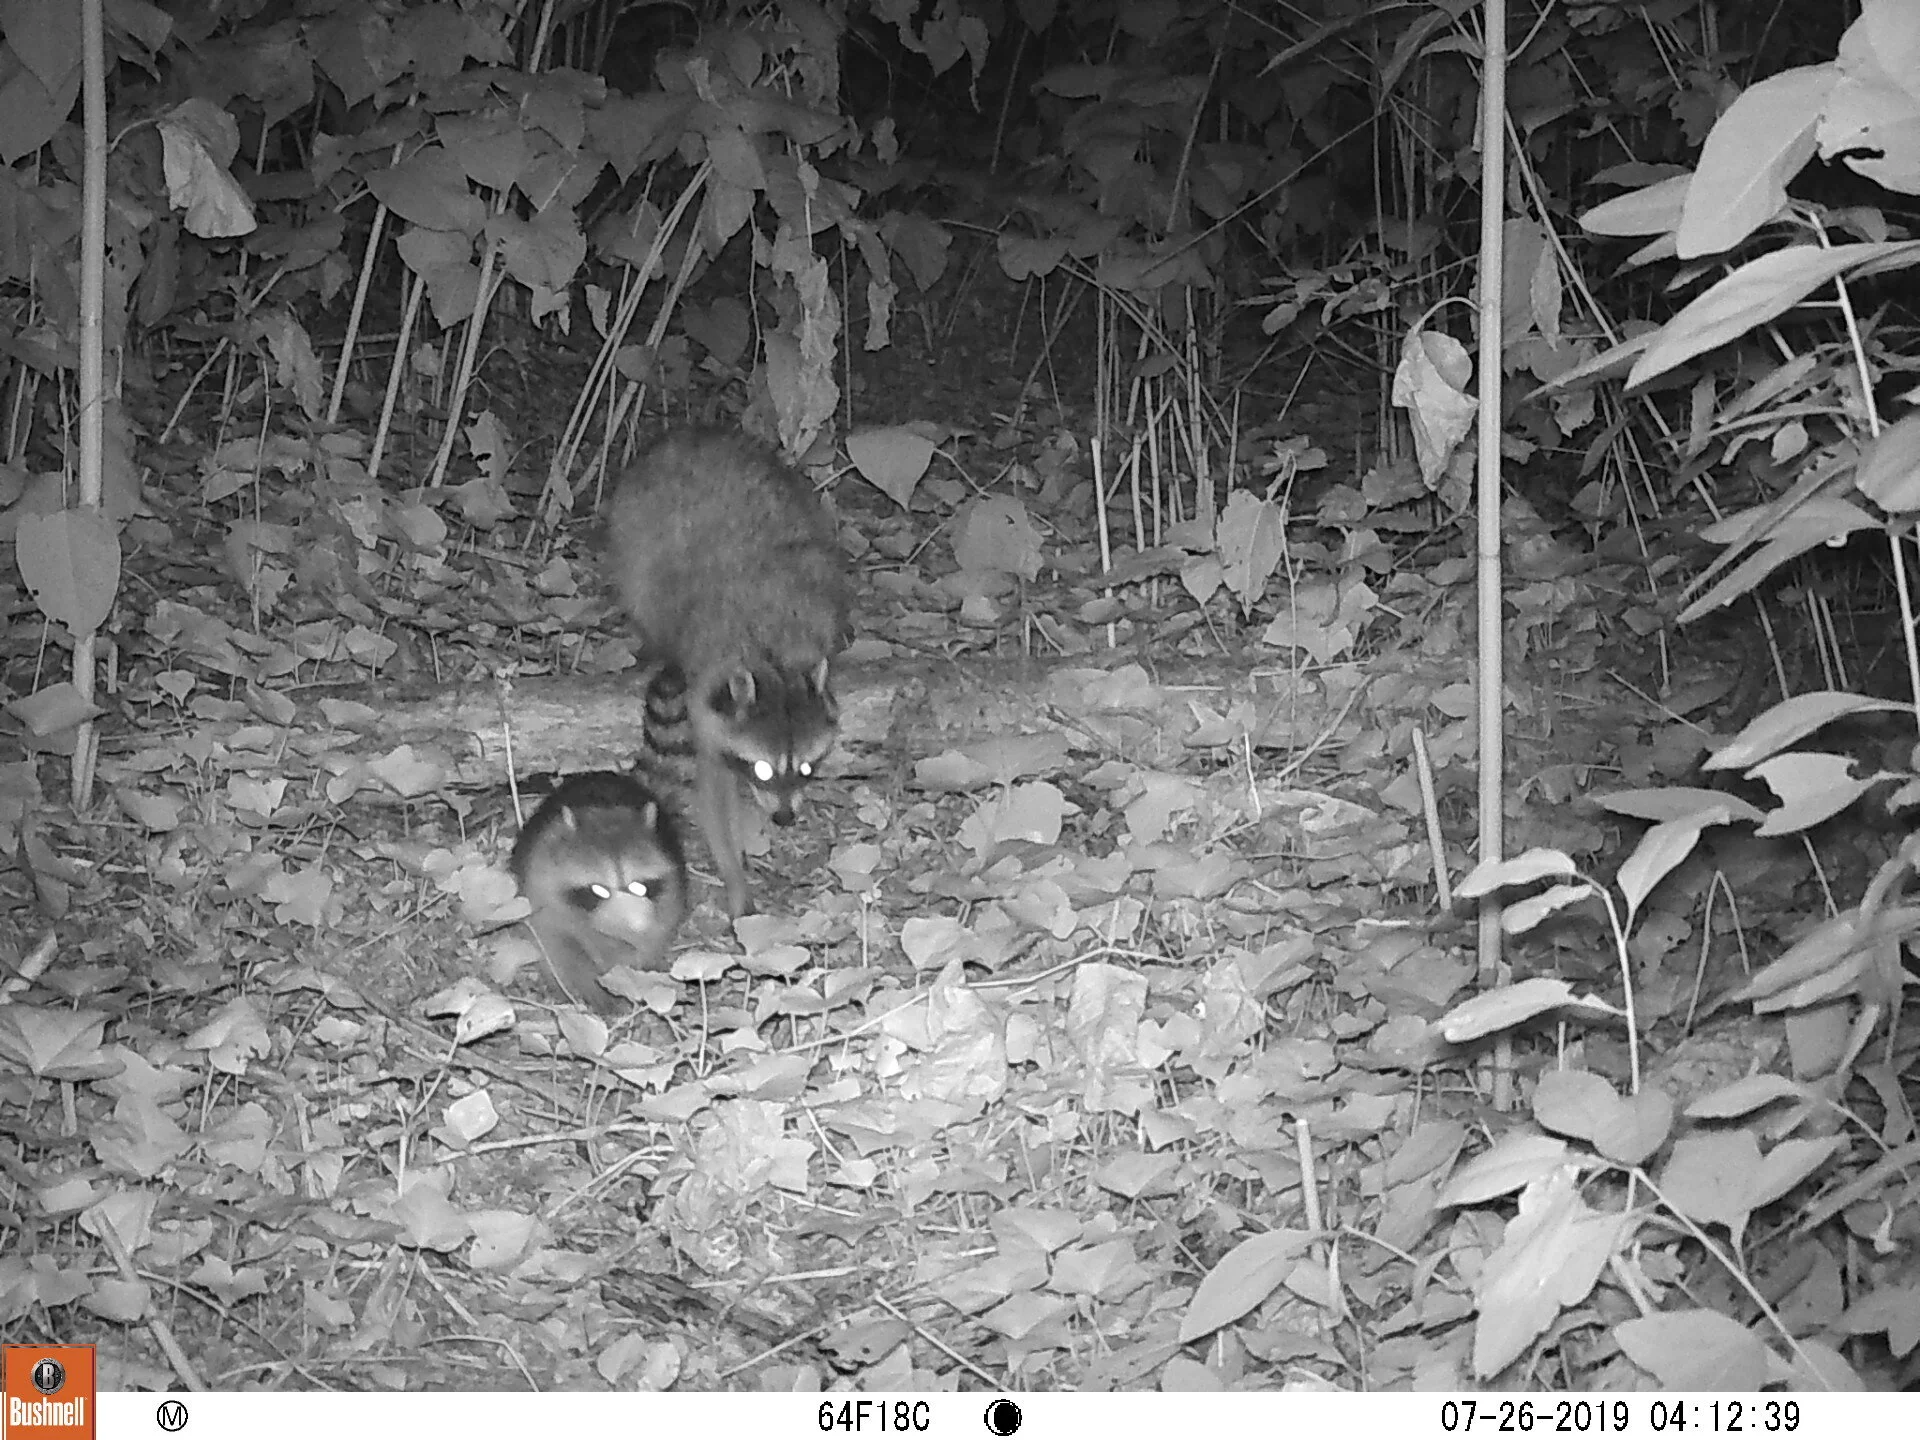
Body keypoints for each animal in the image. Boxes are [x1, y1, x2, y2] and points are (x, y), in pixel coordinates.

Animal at [508, 771, 689, 1011]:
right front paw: (584, 987)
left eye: (638, 887)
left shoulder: (668, 896)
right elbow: (555, 945)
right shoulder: (541, 890)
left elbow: (651, 939)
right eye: (599, 890)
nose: (634, 925)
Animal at [605, 429, 851, 917]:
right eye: (761, 770)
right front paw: (735, 878)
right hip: (633, 526)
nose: (784, 818)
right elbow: (713, 794)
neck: (775, 665)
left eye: (807, 767)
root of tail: (694, 435)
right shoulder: (707, 704)